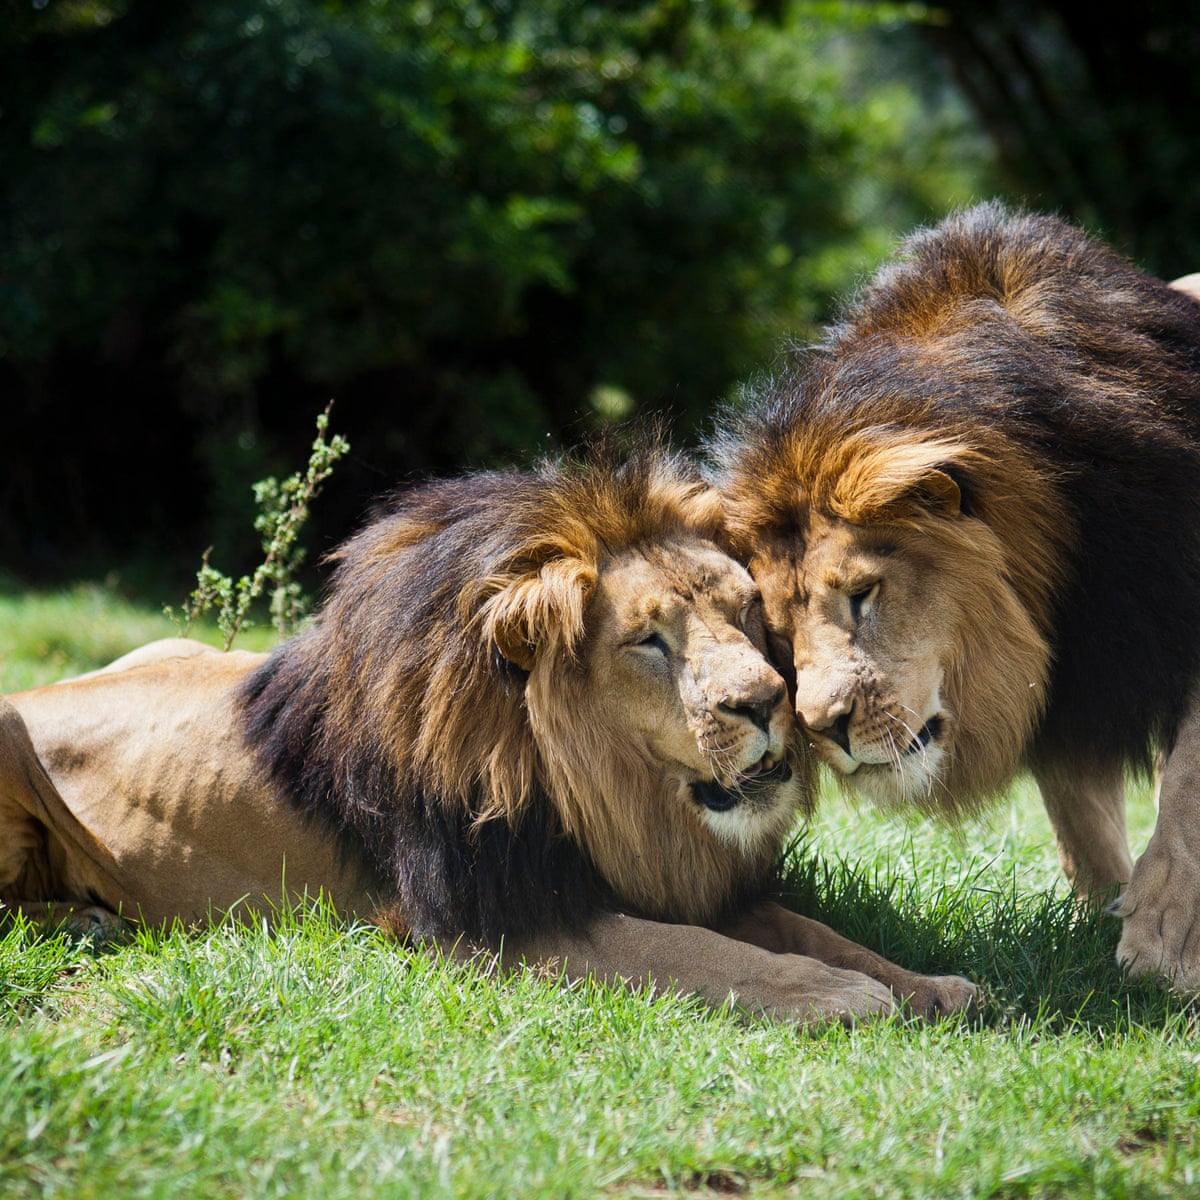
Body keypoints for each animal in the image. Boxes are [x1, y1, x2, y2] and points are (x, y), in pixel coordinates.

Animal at [0, 445, 976, 1024]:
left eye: (742, 612)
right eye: (648, 642)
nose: (771, 701)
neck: (603, 795)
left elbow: (810, 929)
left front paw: (928, 985)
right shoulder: (490, 921)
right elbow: (699, 953)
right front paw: (839, 996)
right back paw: (87, 922)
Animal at [710, 202, 1200, 989]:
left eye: (863, 594)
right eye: (778, 639)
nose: (824, 725)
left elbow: (1187, 779)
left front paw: (1163, 938)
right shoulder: (1063, 679)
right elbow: (1079, 818)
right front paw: (1100, 930)